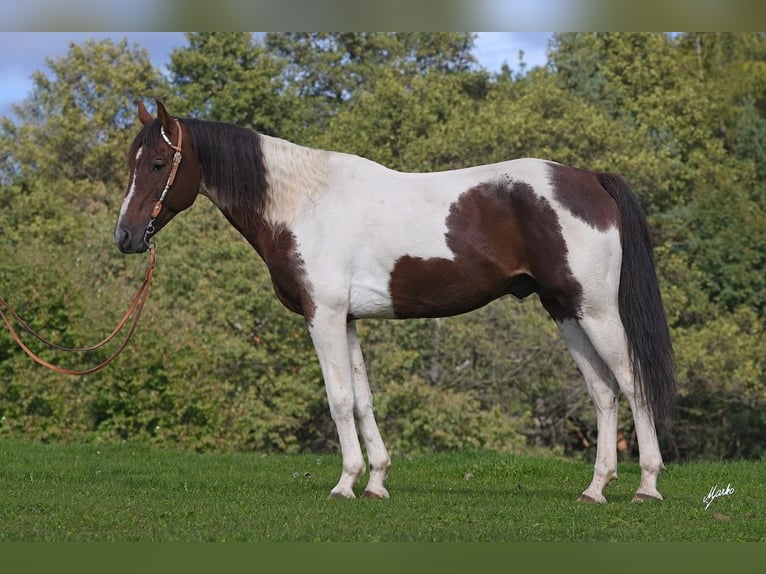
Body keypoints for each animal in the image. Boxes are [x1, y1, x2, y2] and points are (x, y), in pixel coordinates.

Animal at [115, 100, 676, 503]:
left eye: (159, 163)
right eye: (131, 163)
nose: (125, 237)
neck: (303, 204)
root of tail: (590, 179)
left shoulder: (323, 315)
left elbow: (339, 399)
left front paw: (345, 484)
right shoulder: (346, 319)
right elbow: (363, 400)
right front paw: (376, 482)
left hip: (597, 311)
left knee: (632, 383)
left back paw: (647, 487)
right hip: (564, 310)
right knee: (603, 392)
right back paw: (596, 489)